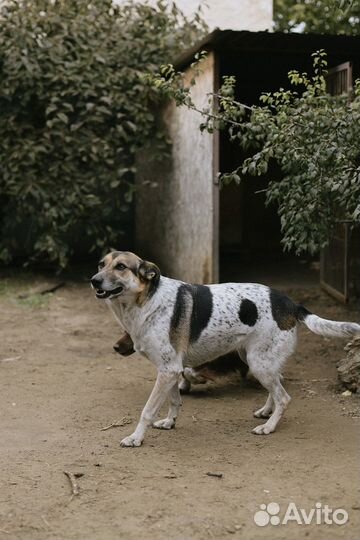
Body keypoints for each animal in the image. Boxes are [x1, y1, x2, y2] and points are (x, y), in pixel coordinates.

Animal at [90, 251, 360, 446]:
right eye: (101, 264)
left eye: (121, 267)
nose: (94, 280)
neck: (147, 300)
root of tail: (291, 303)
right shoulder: (170, 369)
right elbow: (174, 400)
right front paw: (169, 422)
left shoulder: (168, 370)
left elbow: (147, 410)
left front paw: (135, 438)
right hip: (255, 359)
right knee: (278, 385)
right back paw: (266, 411)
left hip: (259, 363)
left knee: (284, 397)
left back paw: (269, 427)